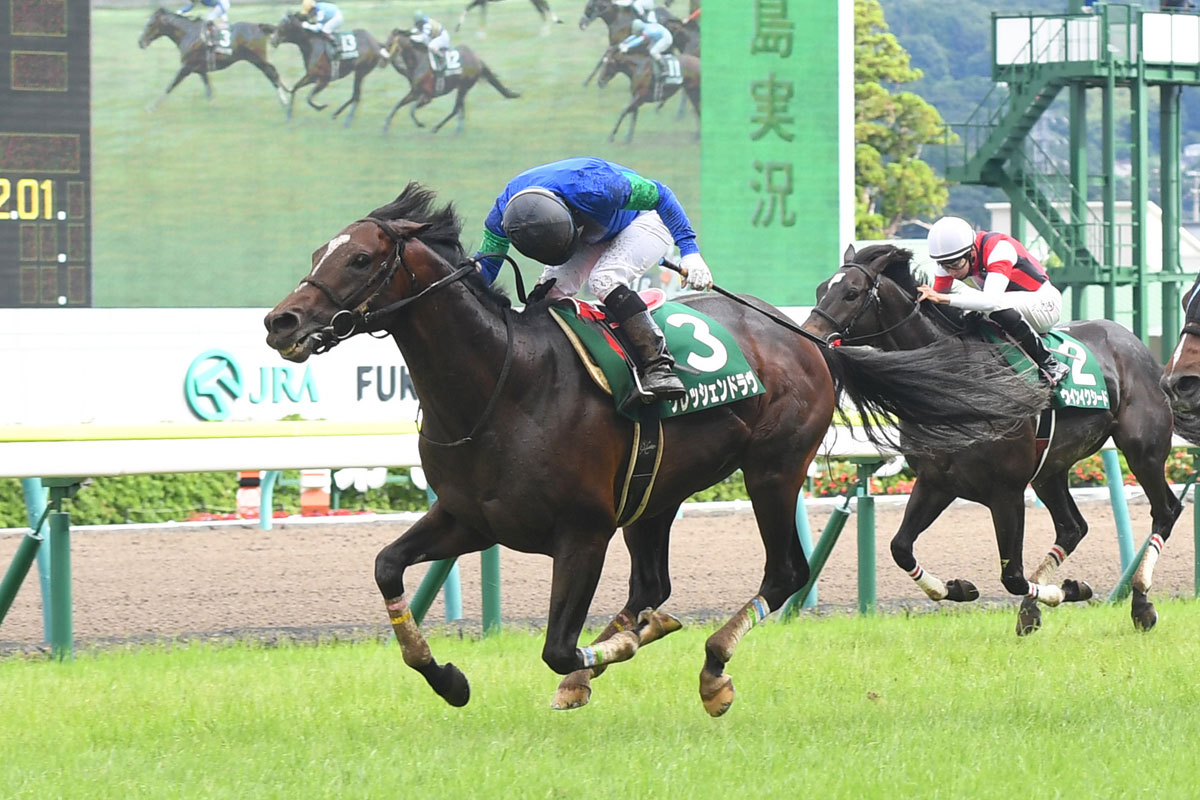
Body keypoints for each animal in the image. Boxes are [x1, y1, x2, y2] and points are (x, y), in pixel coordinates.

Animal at [137, 9, 289, 110]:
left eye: (150, 24)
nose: (140, 42)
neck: (187, 34)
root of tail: (259, 26)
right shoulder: (200, 70)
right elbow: (208, 88)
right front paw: (213, 106)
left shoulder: (187, 67)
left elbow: (171, 85)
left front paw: (153, 107)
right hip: (258, 60)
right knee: (274, 73)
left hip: (257, 59)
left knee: (272, 75)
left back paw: (284, 101)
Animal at [262, 185, 1050, 714]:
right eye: (320, 252)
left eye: (361, 258)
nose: (281, 322)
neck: (505, 381)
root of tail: (808, 337)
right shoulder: (467, 516)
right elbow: (386, 566)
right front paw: (448, 677)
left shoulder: (581, 531)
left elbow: (555, 645)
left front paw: (604, 655)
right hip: (657, 491)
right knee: (653, 584)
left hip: (771, 469)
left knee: (782, 572)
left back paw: (710, 667)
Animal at [381, 30, 520, 135]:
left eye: (389, 44)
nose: (382, 60)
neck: (418, 61)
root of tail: (477, 59)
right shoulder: (415, 93)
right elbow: (398, 105)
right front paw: (385, 128)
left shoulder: (427, 96)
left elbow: (411, 109)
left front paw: (420, 124)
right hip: (462, 88)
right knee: (460, 110)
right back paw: (458, 129)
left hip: (463, 87)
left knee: (455, 110)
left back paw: (437, 128)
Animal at [803, 244, 1184, 634]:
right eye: (820, 289)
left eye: (851, 293)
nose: (809, 333)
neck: (955, 381)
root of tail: (1131, 340)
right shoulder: (935, 481)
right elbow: (900, 548)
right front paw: (960, 588)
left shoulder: (1006, 491)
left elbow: (1012, 577)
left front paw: (1063, 591)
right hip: (1050, 469)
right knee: (1072, 528)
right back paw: (1040, 604)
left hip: (1142, 450)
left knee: (1166, 511)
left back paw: (1140, 602)